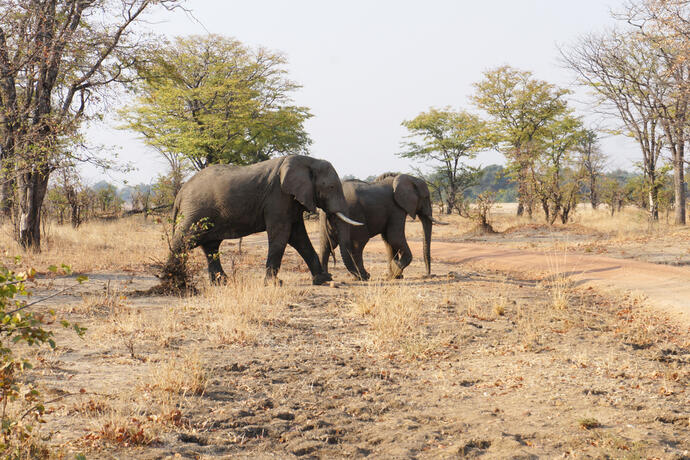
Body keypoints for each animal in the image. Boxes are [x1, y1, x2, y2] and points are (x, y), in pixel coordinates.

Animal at [167, 155, 362, 284]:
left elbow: (298, 237)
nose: (363, 277)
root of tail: (180, 193)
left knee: (210, 246)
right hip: (196, 211)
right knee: (185, 240)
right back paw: (170, 280)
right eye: (331, 187)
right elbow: (281, 235)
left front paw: (322, 279)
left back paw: (222, 283)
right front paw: (274, 284)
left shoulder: (291, 200)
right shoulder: (278, 197)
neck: (308, 160)